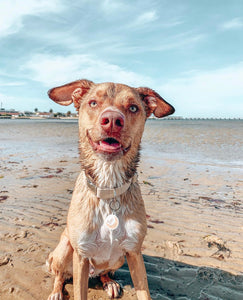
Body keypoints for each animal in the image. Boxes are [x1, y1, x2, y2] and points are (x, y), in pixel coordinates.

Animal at [46, 80, 175, 300]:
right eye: (93, 102)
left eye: (133, 107)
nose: (113, 120)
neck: (108, 187)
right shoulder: (81, 255)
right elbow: (78, 291)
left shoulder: (134, 252)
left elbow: (144, 292)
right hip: (64, 250)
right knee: (60, 275)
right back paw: (56, 292)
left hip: (119, 259)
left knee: (104, 272)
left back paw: (109, 282)